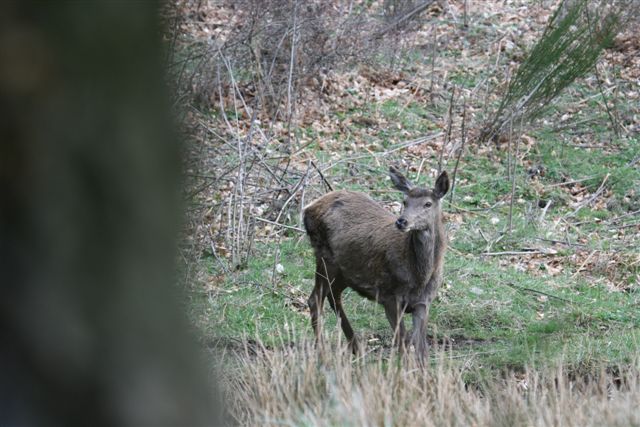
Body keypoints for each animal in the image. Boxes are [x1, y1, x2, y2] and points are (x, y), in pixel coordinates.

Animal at [302, 166, 448, 360]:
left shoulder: (424, 303)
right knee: (315, 300)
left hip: (345, 272)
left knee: (333, 295)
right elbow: (402, 344)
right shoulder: (390, 297)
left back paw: (356, 348)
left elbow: (421, 351)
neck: (419, 277)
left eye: (428, 204)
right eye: (405, 201)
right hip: (325, 257)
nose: (402, 221)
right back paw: (323, 351)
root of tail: (307, 208)